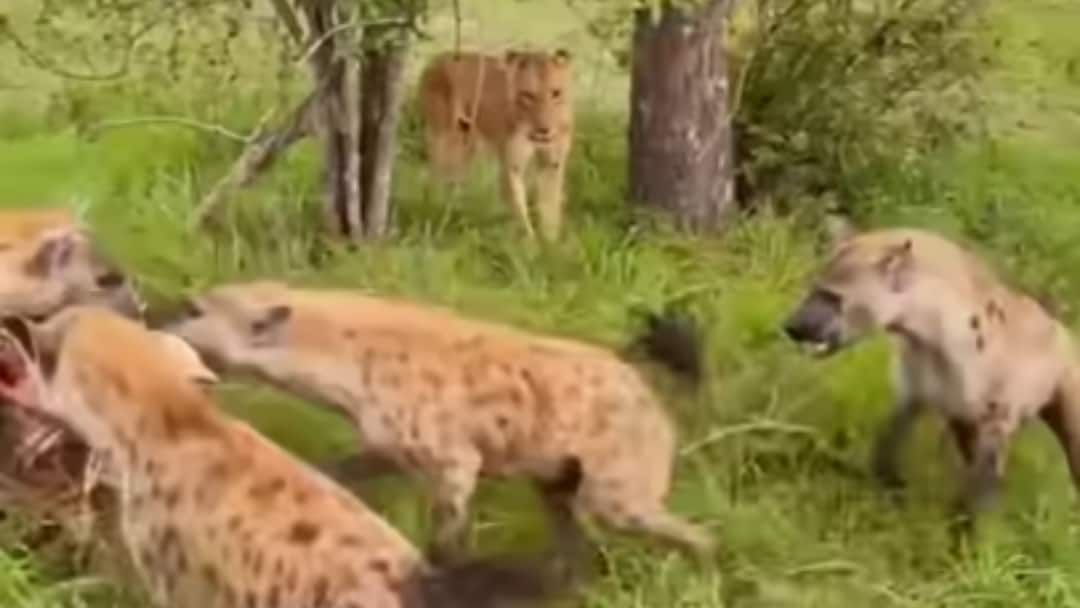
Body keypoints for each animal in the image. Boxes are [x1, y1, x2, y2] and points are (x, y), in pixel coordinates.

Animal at [418, 49, 574, 241]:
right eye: (527, 95)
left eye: (556, 93)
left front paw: (551, 242)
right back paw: (436, 215)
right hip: (443, 139)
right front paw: (530, 243)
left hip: (466, 145)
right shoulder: (512, 165)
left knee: (455, 181)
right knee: (435, 180)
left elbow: (551, 208)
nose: (543, 129)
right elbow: (520, 210)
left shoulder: (552, 164)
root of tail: (437, 58)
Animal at [782, 217, 1080, 531]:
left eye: (832, 296)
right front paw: (887, 492)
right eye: (813, 287)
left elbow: (982, 493)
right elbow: (886, 447)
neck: (934, 339)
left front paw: (974, 535)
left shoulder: (997, 416)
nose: (790, 325)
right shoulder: (916, 396)